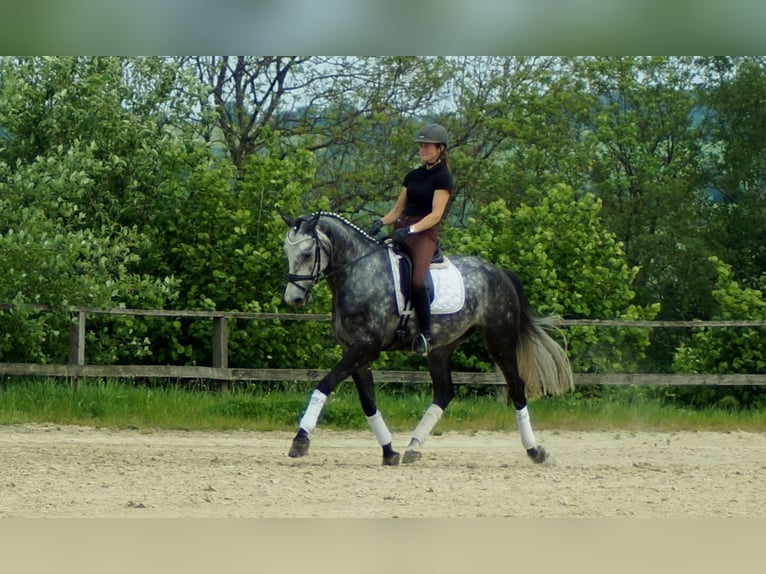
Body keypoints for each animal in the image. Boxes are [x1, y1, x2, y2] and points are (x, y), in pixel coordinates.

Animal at [280, 212, 572, 468]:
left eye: (306, 253)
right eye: (287, 252)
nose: (294, 298)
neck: (359, 272)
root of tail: (499, 272)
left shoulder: (366, 347)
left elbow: (325, 384)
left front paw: (300, 440)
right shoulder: (355, 351)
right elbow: (368, 402)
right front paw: (389, 452)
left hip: (500, 338)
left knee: (516, 386)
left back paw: (535, 451)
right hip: (442, 348)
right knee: (444, 392)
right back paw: (413, 446)